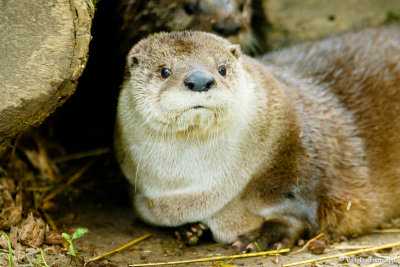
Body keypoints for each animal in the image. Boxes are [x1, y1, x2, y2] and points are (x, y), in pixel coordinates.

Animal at [115, 24, 400, 251]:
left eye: (222, 68)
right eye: (164, 71)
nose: (200, 80)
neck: (204, 186)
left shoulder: (296, 158)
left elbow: (301, 204)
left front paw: (264, 236)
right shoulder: (149, 200)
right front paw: (188, 229)